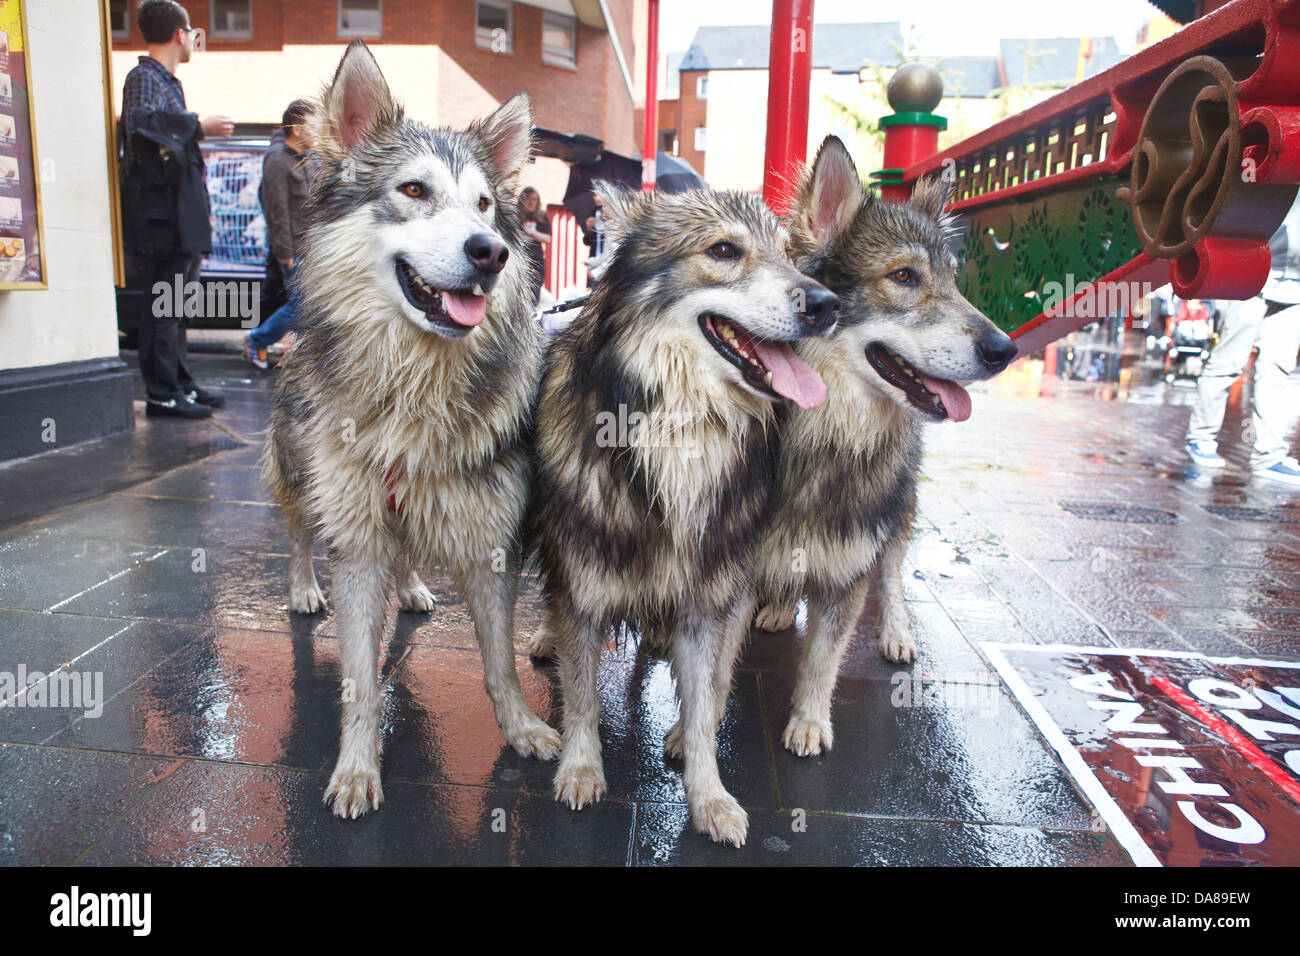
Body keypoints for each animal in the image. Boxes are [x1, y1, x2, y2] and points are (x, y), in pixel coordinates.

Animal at [266, 42, 561, 822]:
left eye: (485, 204)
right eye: (414, 190)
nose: (490, 251)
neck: (414, 387)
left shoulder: (491, 541)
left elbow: (499, 662)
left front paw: (520, 729)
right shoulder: (359, 538)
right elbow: (360, 680)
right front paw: (357, 766)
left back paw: (414, 590)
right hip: (302, 475)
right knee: (300, 531)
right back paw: (303, 587)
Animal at [533, 183, 837, 842]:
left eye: (790, 255)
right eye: (723, 250)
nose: (828, 304)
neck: (680, 424)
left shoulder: (704, 598)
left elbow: (702, 708)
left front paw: (709, 798)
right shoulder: (582, 584)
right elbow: (582, 695)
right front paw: (580, 768)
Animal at [759, 136, 1019, 754]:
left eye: (954, 280)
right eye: (903, 276)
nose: (1006, 350)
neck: (825, 434)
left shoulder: (851, 564)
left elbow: (824, 657)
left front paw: (809, 721)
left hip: (898, 506)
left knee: (894, 570)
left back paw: (896, 633)